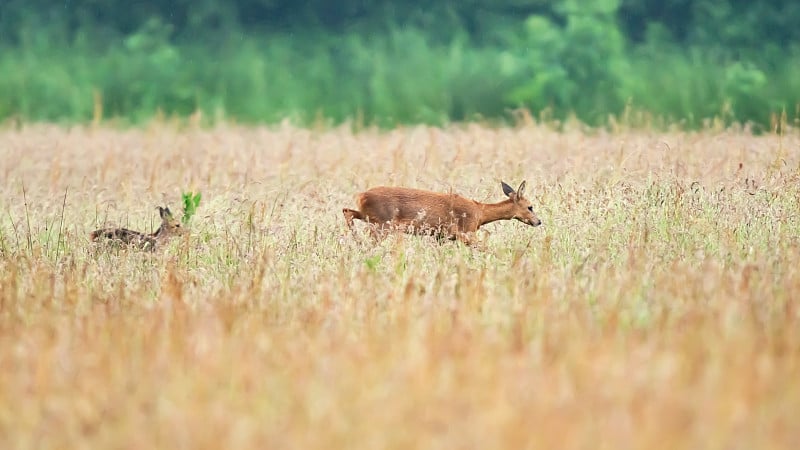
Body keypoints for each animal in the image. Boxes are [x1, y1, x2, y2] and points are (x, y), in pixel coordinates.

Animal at [340, 179, 540, 244]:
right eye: (530, 206)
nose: (539, 221)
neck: (480, 213)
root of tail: (361, 196)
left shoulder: (442, 236)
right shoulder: (465, 232)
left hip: (371, 218)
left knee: (347, 210)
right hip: (382, 224)